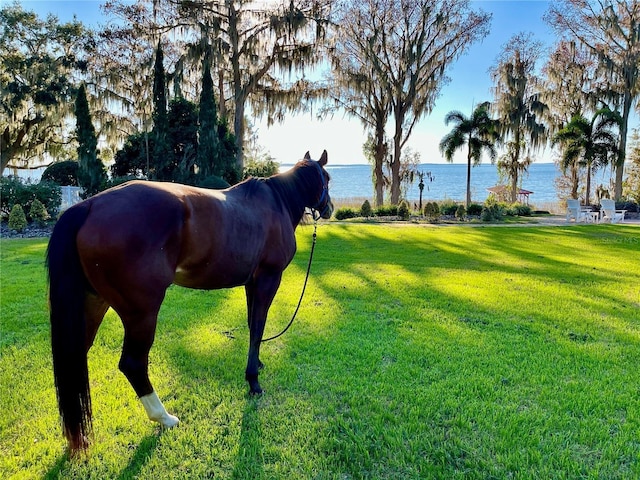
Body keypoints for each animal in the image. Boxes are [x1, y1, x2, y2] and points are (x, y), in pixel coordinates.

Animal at [46, 150, 336, 454]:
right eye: (327, 177)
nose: (330, 208)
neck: (276, 203)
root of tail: (89, 206)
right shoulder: (269, 279)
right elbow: (258, 327)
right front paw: (253, 382)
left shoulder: (251, 283)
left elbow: (251, 325)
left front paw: (257, 365)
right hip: (141, 313)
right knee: (133, 363)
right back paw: (164, 417)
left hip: (93, 303)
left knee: (77, 354)